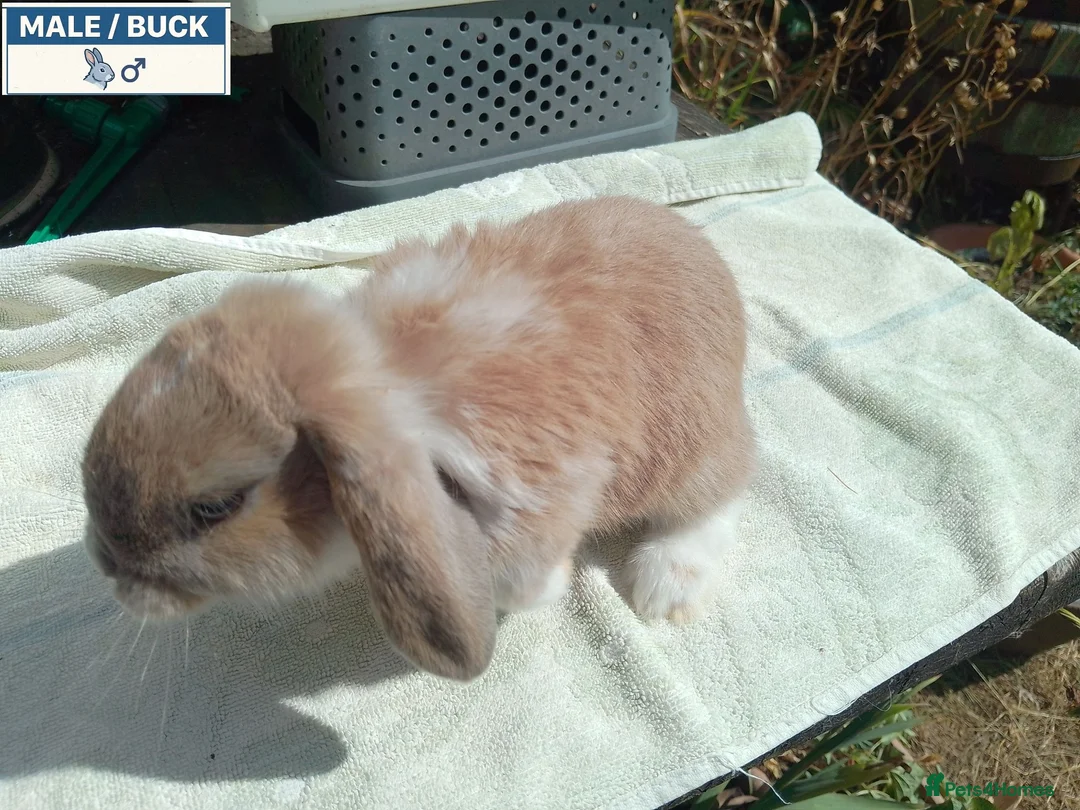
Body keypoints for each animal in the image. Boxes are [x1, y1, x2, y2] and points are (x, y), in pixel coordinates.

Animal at [80, 196, 757, 682]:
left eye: (216, 508)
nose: (104, 565)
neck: (387, 378)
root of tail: (712, 262)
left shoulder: (548, 489)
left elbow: (520, 576)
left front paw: (552, 589)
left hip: (693, 445)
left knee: (721, 493)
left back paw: (666, 589)